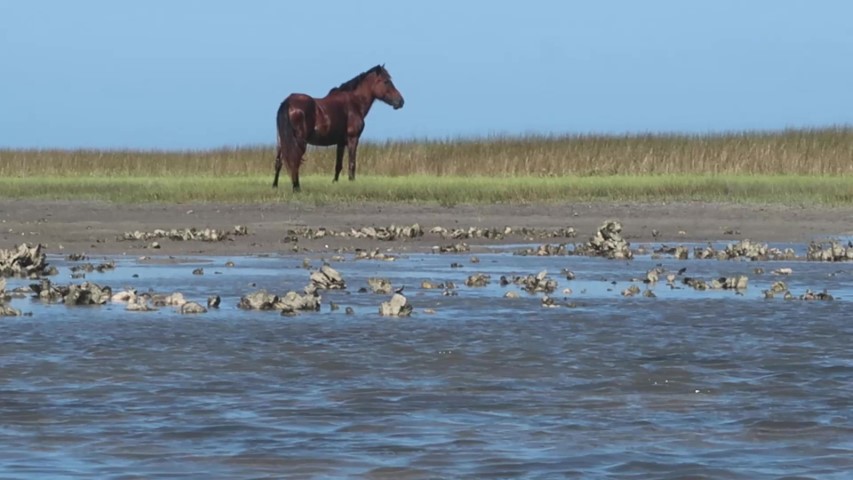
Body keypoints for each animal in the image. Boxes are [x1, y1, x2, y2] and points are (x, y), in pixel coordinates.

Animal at [273, 64, 405, 192]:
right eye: (386, 81)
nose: (401, 101)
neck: (354, 103)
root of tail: (288, 102)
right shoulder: (353, 139)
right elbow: (352, 163)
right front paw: (352, 183)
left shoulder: (340, 142)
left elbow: (338, 165)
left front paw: (335, 183)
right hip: (299, 142)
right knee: (294, 161)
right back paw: (296, 188)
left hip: (282, 141)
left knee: (279, 162)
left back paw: (275, 186)